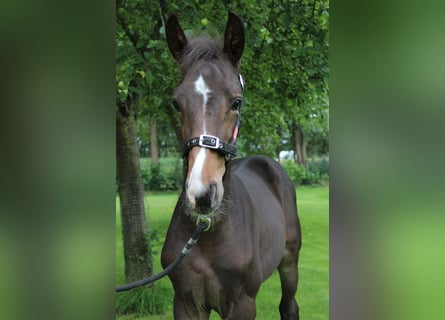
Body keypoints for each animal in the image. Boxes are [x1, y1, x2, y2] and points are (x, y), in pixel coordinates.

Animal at [160, 11, 302, 318]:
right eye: (176, 103)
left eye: (237, 102)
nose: (202, 195)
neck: (207, 234)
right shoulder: (186, 303)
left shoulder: (242, 304)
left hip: (290, 262)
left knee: (289, 306)